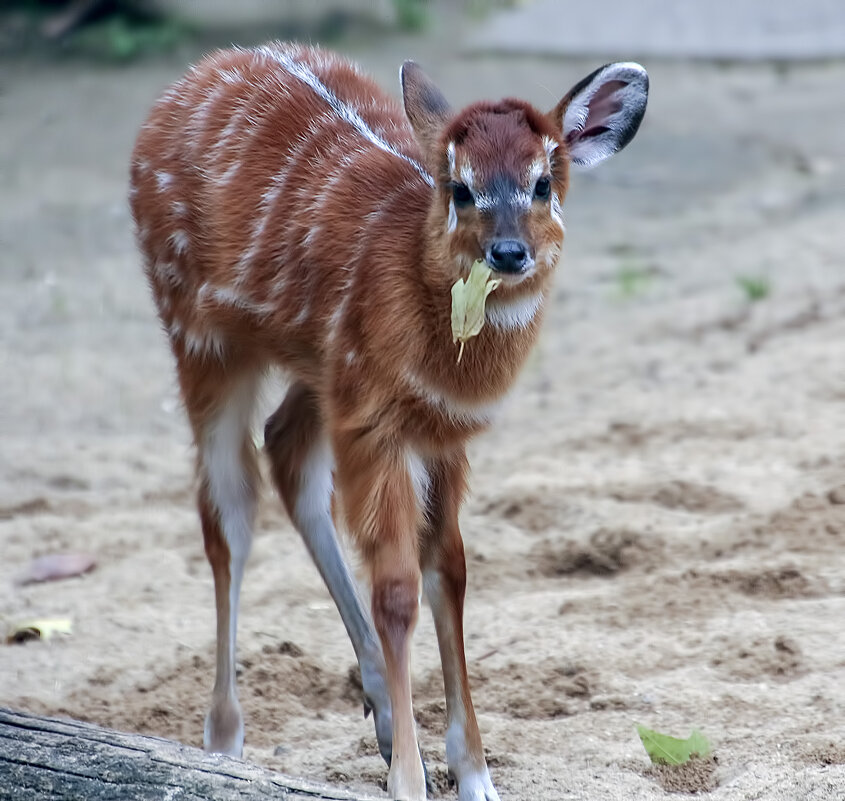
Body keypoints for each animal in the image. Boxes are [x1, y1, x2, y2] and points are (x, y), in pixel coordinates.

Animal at [130, 45, 648, 800]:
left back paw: (371, 710)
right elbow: (398, 591)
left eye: (542, 183)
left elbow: (449, 572)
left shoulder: (437, 433)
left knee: (286, 450)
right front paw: (410, 777)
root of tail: (194, 75)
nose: (508, 253)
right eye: (459, 188)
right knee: (227, 509)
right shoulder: (375, 420)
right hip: (201, 335)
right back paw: (223, 738)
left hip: (317, 371)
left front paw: (473, 773)